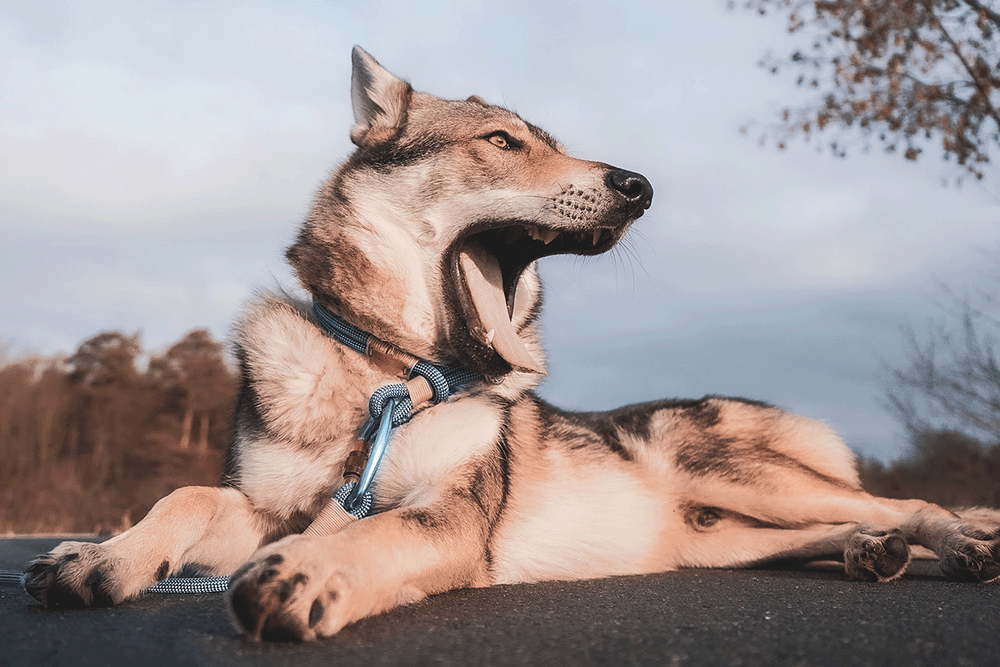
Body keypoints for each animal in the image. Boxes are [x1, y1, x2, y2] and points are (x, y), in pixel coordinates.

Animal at [23, 47, 1000, 640]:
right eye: (502, 140)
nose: (640, 185)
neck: (391, 378)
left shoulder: (449, 516)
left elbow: (371, 534)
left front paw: (306, 573)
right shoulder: (261, 505)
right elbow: (184, 497)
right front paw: (100, 557)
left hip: (751, 478)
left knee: (906, 501)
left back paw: (955, 542)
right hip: (728, 533)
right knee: (836, 526)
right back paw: (871, 553)